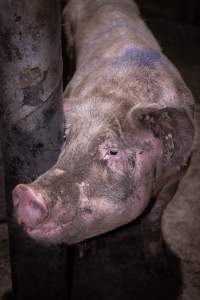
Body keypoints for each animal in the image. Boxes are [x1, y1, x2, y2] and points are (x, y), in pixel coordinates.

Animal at [12, 0, 194, 246]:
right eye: (66, 138)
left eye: (113, 151)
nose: (25, 192)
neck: (121, 94)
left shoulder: (178, 172)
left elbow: (155, 217)